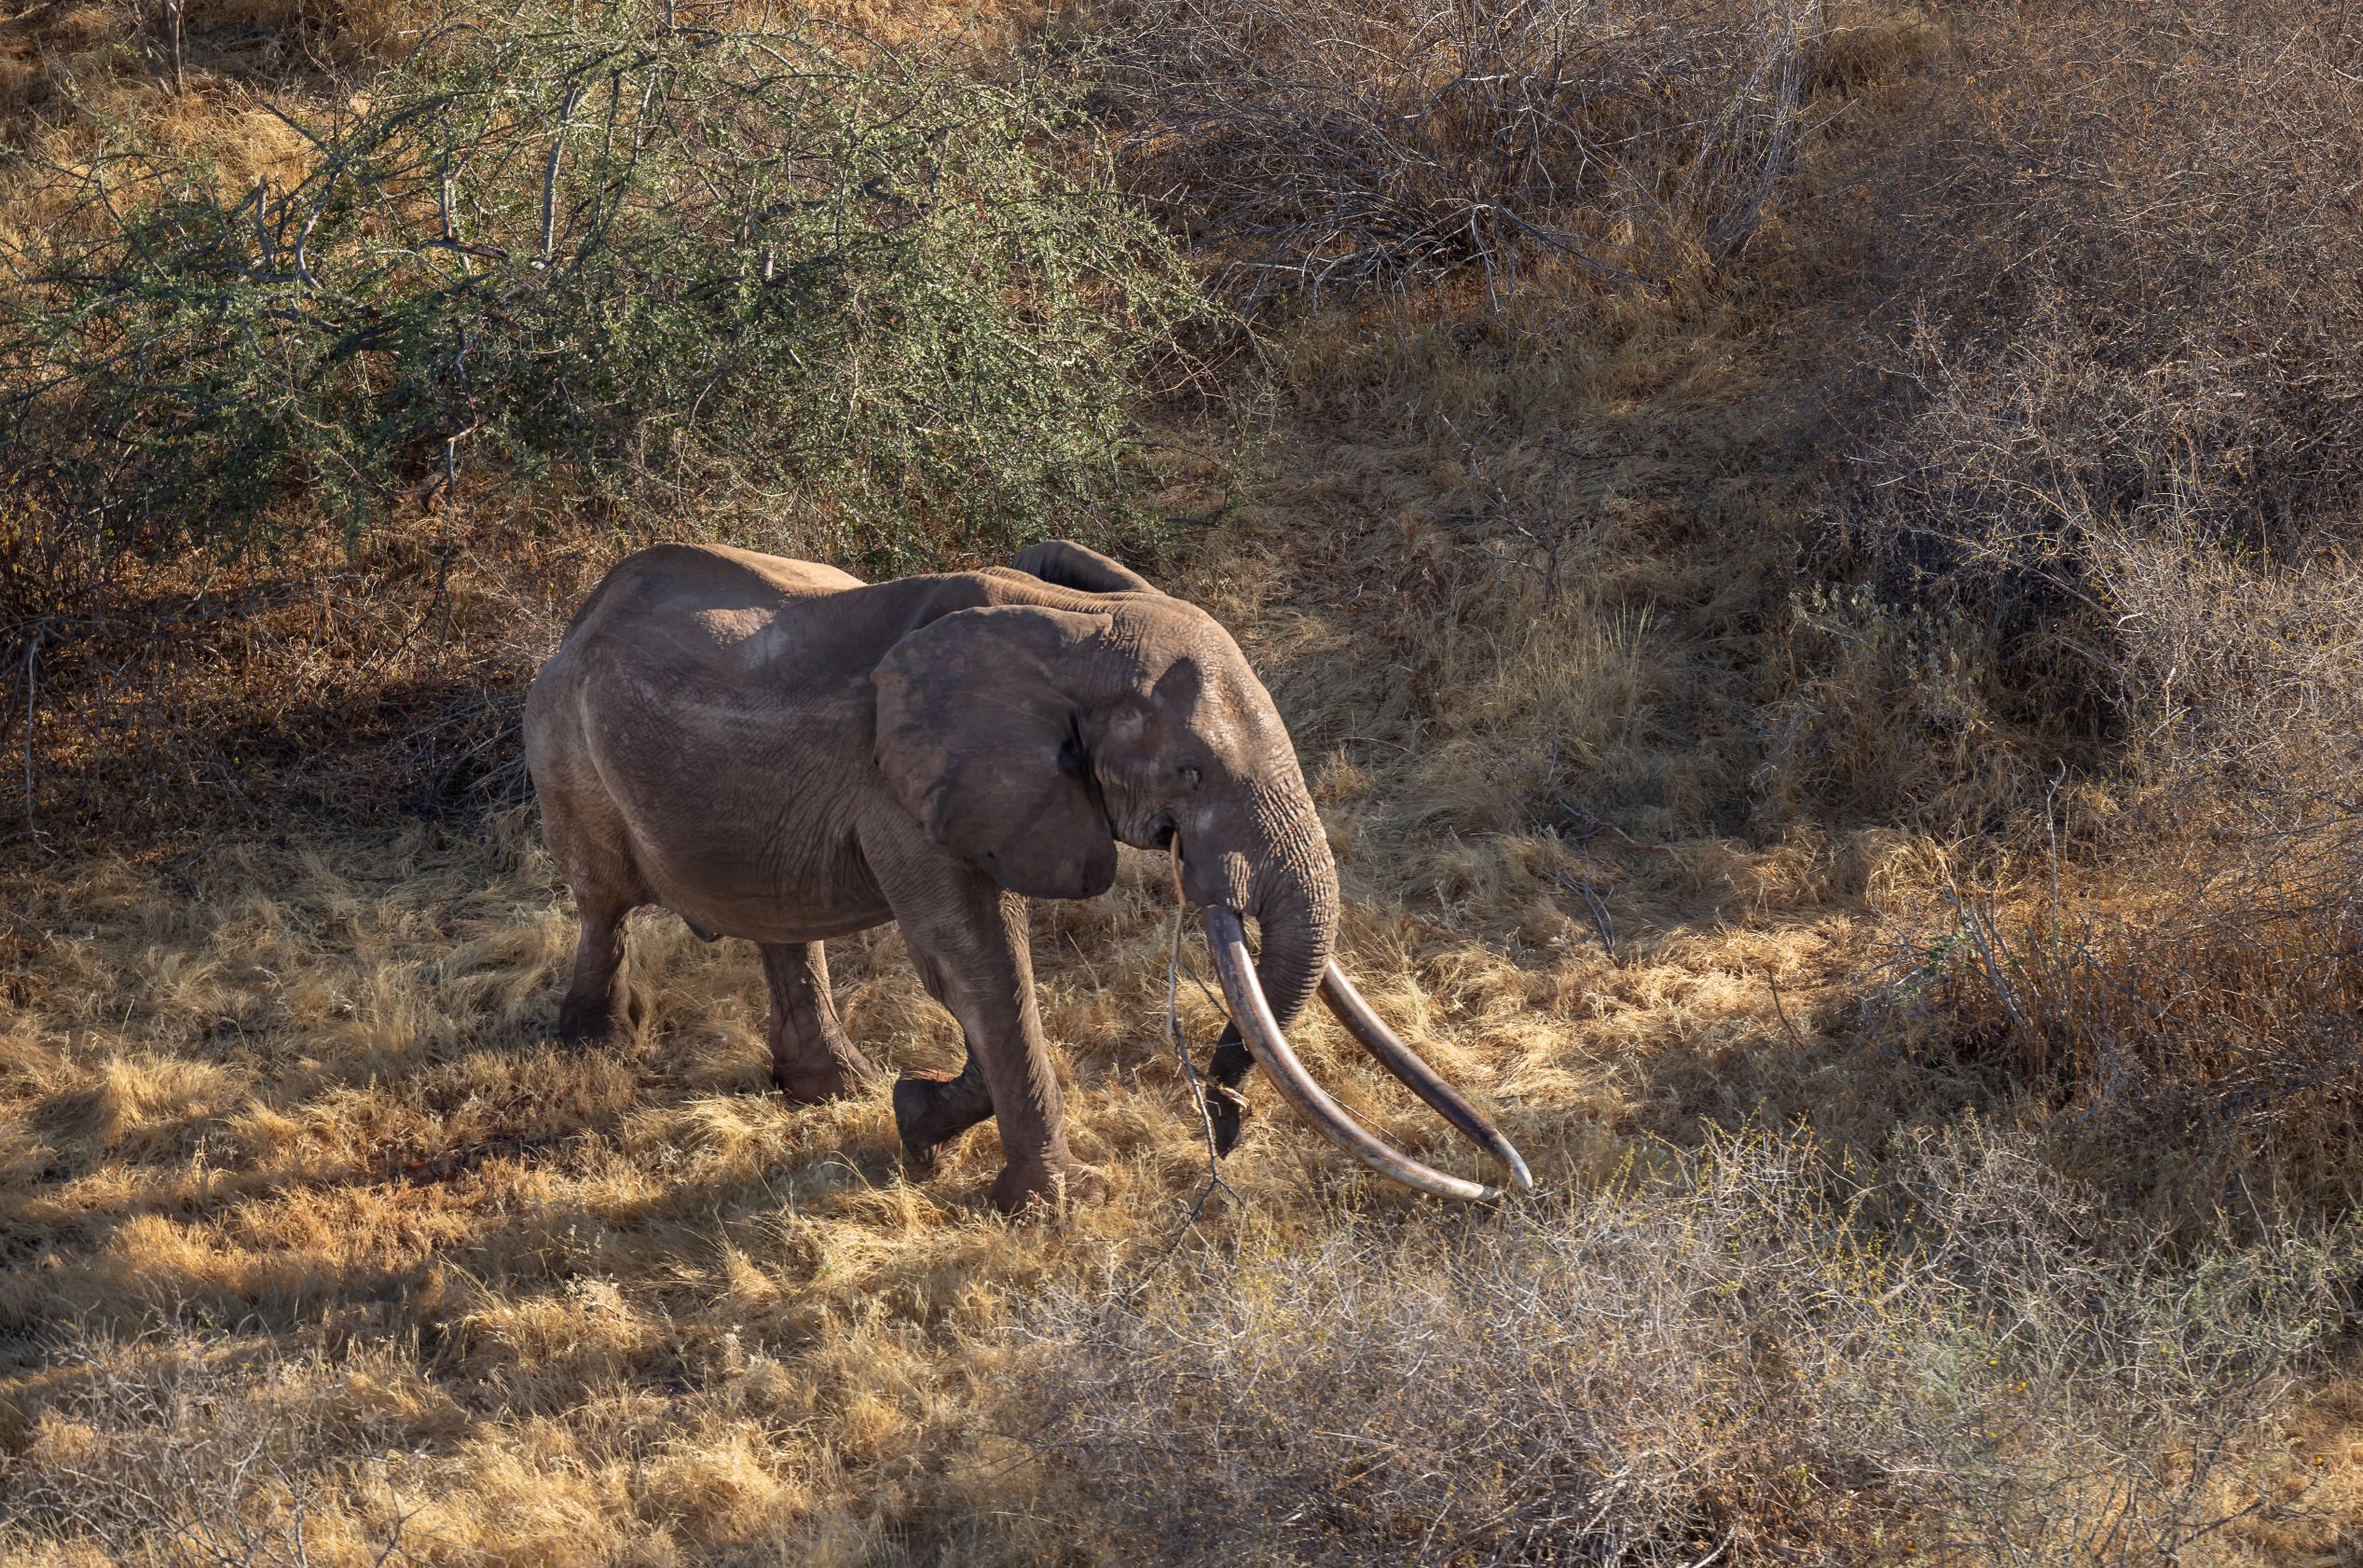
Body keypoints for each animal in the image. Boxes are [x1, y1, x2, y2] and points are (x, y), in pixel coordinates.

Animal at [522, 538, 1529, 1213]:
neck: (1063, 627)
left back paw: (836, 1087)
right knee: (606, 901)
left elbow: (978, 963)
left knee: (778, 924)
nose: (1223, 1119)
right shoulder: (905, 783)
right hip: (566, 743)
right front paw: (1053, 1201)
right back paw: (594, 1047)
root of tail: (580, 615)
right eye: (1190, 773)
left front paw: (915, 1118)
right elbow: (974, 960)